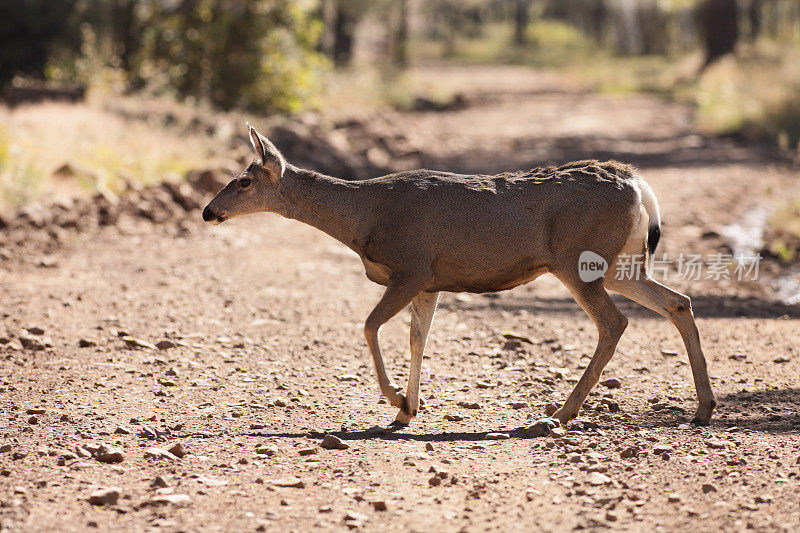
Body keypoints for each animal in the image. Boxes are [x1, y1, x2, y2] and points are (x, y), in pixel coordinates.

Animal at [203, 123, 716, 428]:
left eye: (243, 180)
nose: (208, 211)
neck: (364, 217)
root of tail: (636, 182)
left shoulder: (410, 268)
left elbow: (370, 326)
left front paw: (395, 400)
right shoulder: (431, 282)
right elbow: (417, 339)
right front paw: (408, 410)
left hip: (577, 261)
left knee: (615, 322)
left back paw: (560, 412)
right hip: (621, 265)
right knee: (678, 301)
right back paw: (703, 409)